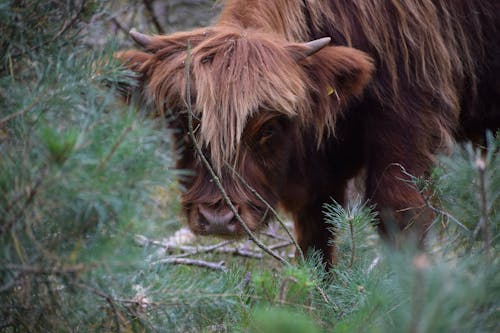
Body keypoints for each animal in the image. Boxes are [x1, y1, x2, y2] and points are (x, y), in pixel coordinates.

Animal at [119, 0, 498, 264]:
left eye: (268, 128)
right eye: (183, 122)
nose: (217, 219)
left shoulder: (407, 131)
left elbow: (402, 218)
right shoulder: (318, 179)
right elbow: (316, 246)